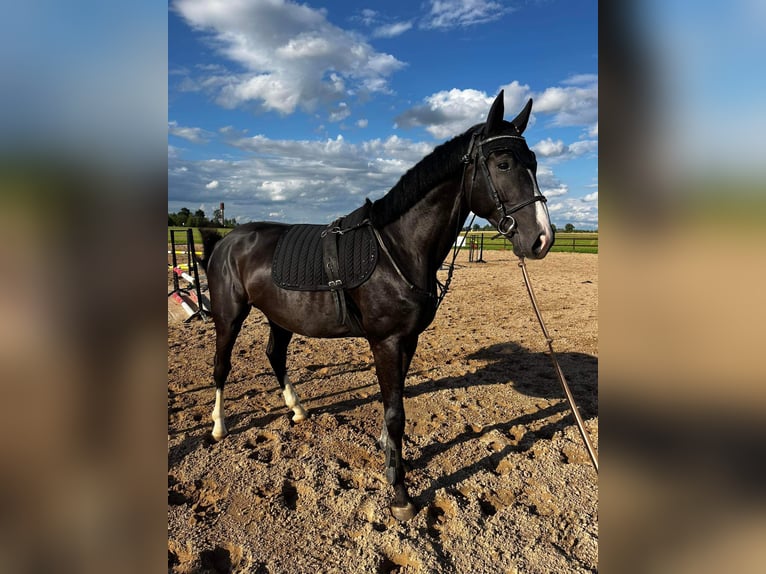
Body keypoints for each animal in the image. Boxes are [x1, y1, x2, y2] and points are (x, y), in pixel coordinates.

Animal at [198, 92, 556, 524]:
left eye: (533, 161)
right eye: (503, 163)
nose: (542, 239)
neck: (397, 248)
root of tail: (226, 240)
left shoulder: (408, 340)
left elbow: (394, 405)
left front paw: (392, 461)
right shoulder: (385, 341)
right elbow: (395, 414)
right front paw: (401, 493)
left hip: (279, 316)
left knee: (275, 355)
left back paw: (297, 410)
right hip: (229, 315)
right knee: (221, 366)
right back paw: (219, 427)